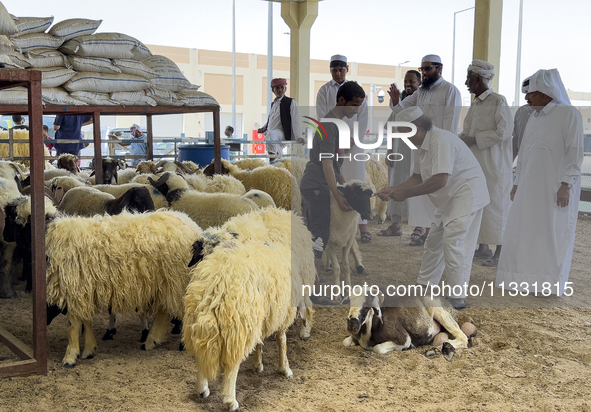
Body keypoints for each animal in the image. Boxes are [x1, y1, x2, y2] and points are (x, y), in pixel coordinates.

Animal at [43, 209, 201, 366]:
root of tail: (191, 224)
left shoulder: (74, 288)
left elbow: (73, 324)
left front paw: (70, 356)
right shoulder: (84, 290)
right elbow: (85, 320)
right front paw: (89, 350)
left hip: (178, 281)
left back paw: (179, 343)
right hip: (166, 283)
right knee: (164, 312)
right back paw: (151, 341)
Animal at [184, 209, 314, 412]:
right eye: (201, 254)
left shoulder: (264, 310)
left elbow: (266, 339)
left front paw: (259, 363)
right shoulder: (275, 309)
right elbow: (281, 339)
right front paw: (283, 368)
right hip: (238, 323)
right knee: (232, 364)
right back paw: (230, 400)